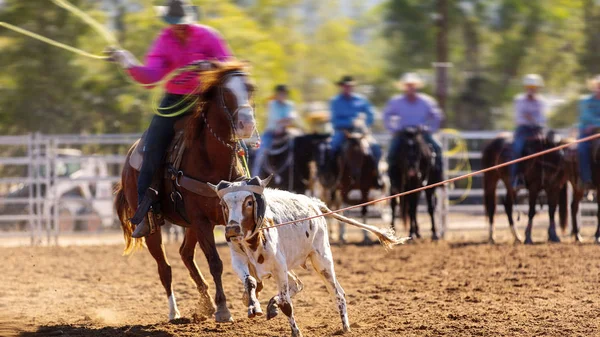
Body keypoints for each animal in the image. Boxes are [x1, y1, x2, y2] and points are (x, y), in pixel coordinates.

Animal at [114, 61, 255, 322]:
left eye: (250, 88)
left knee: (185, 254)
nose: (247, 125)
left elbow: (247, 258)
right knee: (165, 268)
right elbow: (215, 262)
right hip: (156, 227)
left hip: (190, 225)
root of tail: (129, 159)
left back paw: (205, 303)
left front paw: (251, 296)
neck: (212, 160)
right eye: (226, 92)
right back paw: (175, 311)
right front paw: (223, 309)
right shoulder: (201, 221)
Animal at [207, 176, 408, 336]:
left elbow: (287, 305)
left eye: (249, 203)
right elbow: (250, 282)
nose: (232, 230)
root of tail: (313, 203)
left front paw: (296, 331)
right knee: (298, 284)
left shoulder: (279, 267)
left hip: (322, 259)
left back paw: (345, 326)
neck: (255, 239)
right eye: (224, 205)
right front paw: (253, 306)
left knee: (337, 293)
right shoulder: (239, 260)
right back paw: (271, 305)